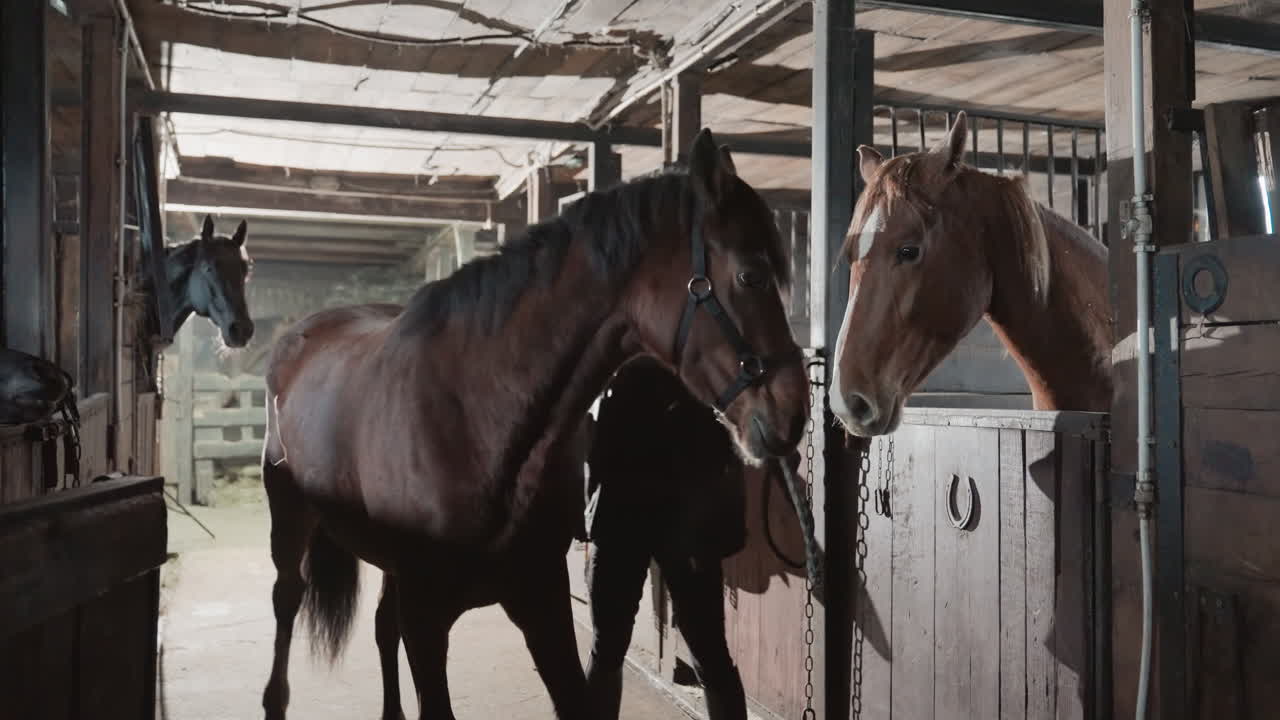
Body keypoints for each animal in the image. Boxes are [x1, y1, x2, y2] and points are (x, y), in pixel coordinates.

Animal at [259, 128, 809, 720]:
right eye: (750, 275)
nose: (794, 413)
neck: (475, 424)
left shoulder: (542, 602)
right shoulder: (427, 620)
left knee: (382, 627)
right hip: (290, 521)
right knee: (287, 602)